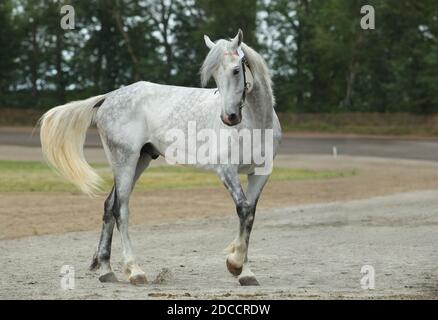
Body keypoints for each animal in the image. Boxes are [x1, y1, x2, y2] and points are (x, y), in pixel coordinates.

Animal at [40, 29, 280, 284]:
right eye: (215, 75)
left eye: (236, 70)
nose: (229, 117)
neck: (256, 122)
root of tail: (108, 97)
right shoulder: (226, 170)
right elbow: (243, 210)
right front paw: (234, 264)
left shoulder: (260, 174)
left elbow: (250, 215)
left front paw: (245, 272)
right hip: (124, 160)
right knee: (120, 209)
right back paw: (134, 270)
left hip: (140, 161)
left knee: (109, 206)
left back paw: (106, 270)